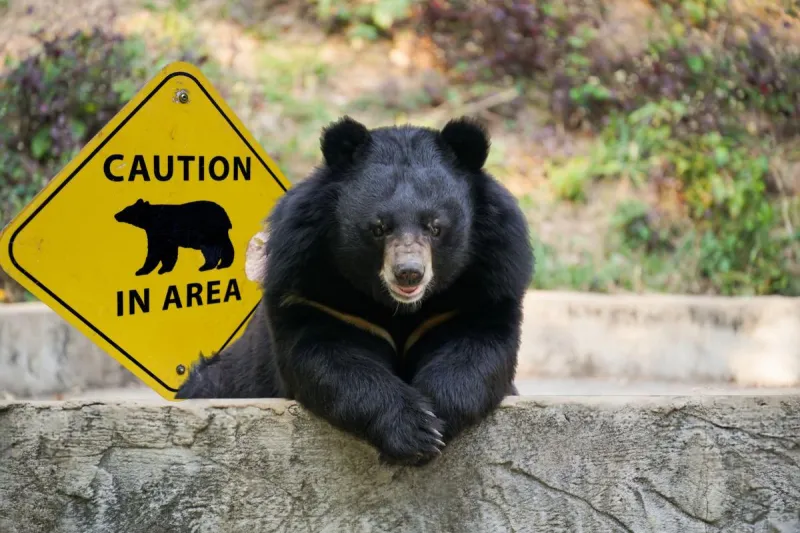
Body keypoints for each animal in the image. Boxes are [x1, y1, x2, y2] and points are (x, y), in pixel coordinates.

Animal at [176, 116, 535, 467]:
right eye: (379, 227)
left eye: (435, 227)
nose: (408, 273)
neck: (400, 307)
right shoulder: (313, 289)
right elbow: (331, 359)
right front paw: (415, 429)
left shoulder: (484, 284)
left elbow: (476, 348)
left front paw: (436, 418)